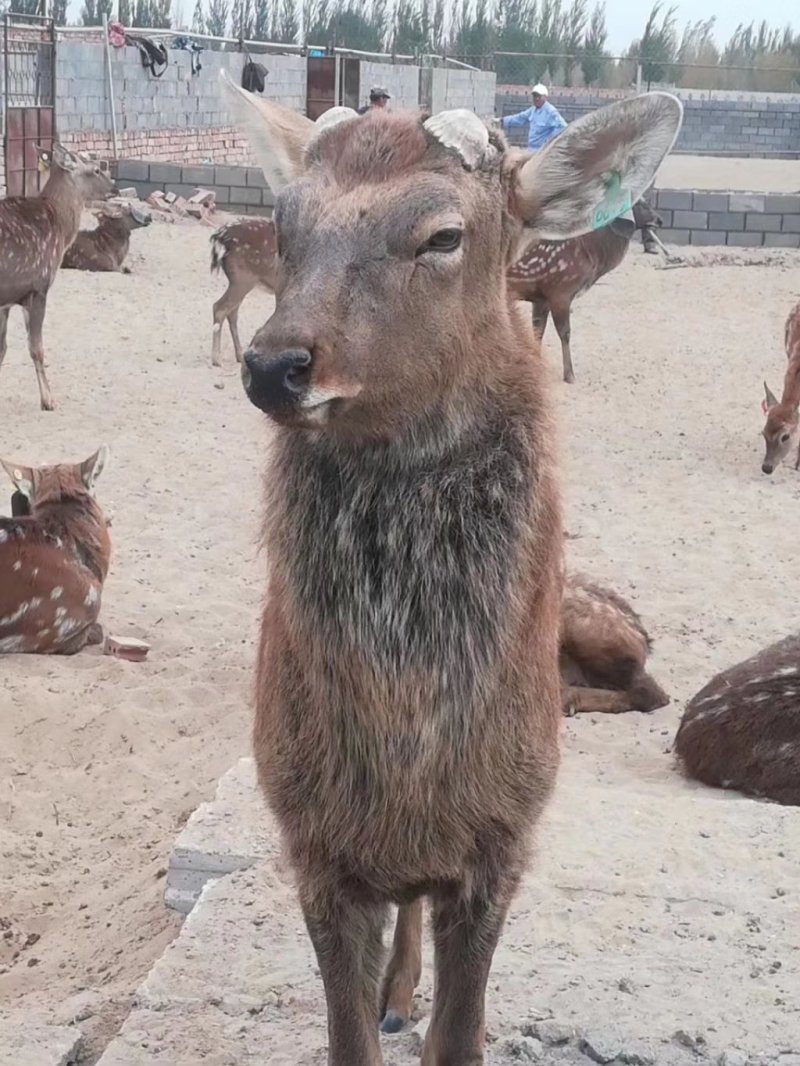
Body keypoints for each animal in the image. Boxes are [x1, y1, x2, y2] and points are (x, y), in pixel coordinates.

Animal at [0, 142, 116, 411]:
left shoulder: (9, 299)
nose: (115, 188)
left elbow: (2, 349)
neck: (60, 226)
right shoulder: (39, 286)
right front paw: (48, 401)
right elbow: (36, 348)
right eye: (96, 169)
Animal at [209, 216, 277, 366]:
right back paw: (216, 359)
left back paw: (239, 356)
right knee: (219, 307)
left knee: (231, 312)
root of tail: (220, 237)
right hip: (243, 279)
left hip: (240, 281)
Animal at [507, 197, 663, 382]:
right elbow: (565, 333)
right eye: (640, 203)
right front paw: (569, 375)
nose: (660, 220)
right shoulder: (560, 290)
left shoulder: (541, 297)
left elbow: (538, 331)